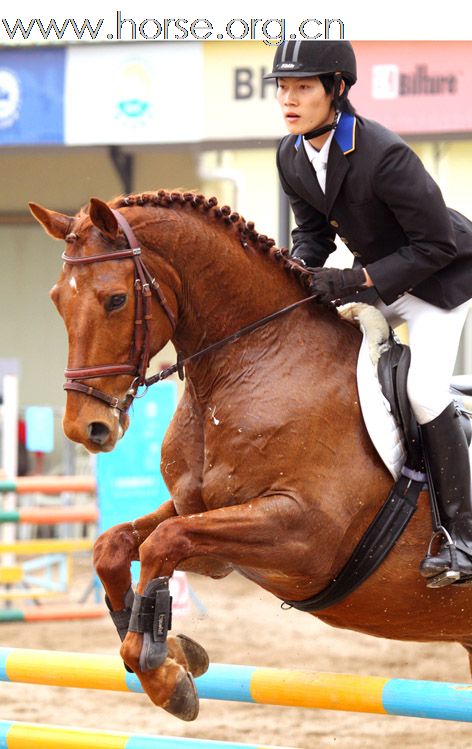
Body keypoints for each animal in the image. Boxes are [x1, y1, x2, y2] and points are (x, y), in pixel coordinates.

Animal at [28, 191, 472, 720]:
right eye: (57, 299)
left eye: (116, 299)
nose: (87, 428)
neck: (254, 360)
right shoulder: (206, 527)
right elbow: (113, 546)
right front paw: (173, 654)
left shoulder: (305, 537)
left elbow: (162, 543)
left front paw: (164, 673)